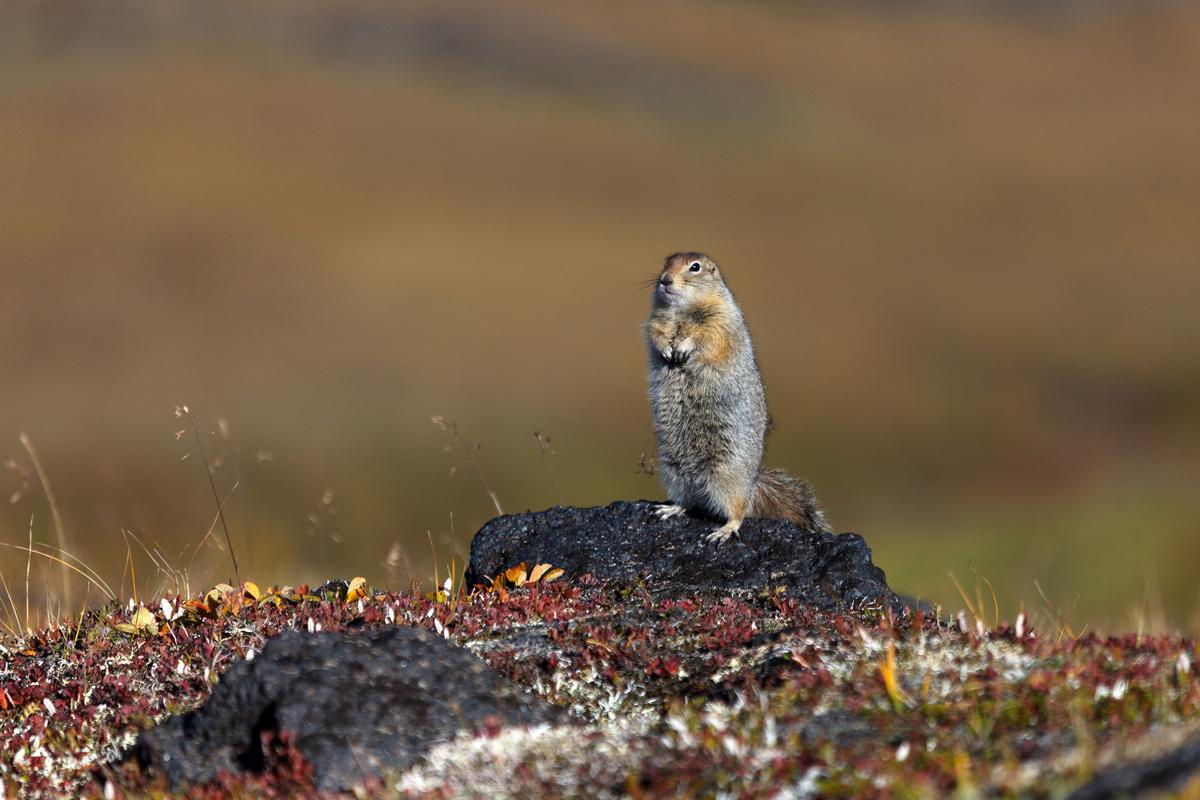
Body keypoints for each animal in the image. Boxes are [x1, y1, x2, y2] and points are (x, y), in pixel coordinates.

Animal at [643, 251, 830, 544]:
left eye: (695, 267)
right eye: (666, 262)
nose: (665, 280)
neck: (681, 310)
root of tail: (753, 483)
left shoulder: (721, 319)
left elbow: (708, 335)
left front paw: (683, 346)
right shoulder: (655, 319)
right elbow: (655, 332)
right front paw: (666, 348)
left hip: (726, 476)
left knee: (740, 510)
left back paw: (724, 530)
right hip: (673, 471)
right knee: (689, 501)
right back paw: (671, 509)